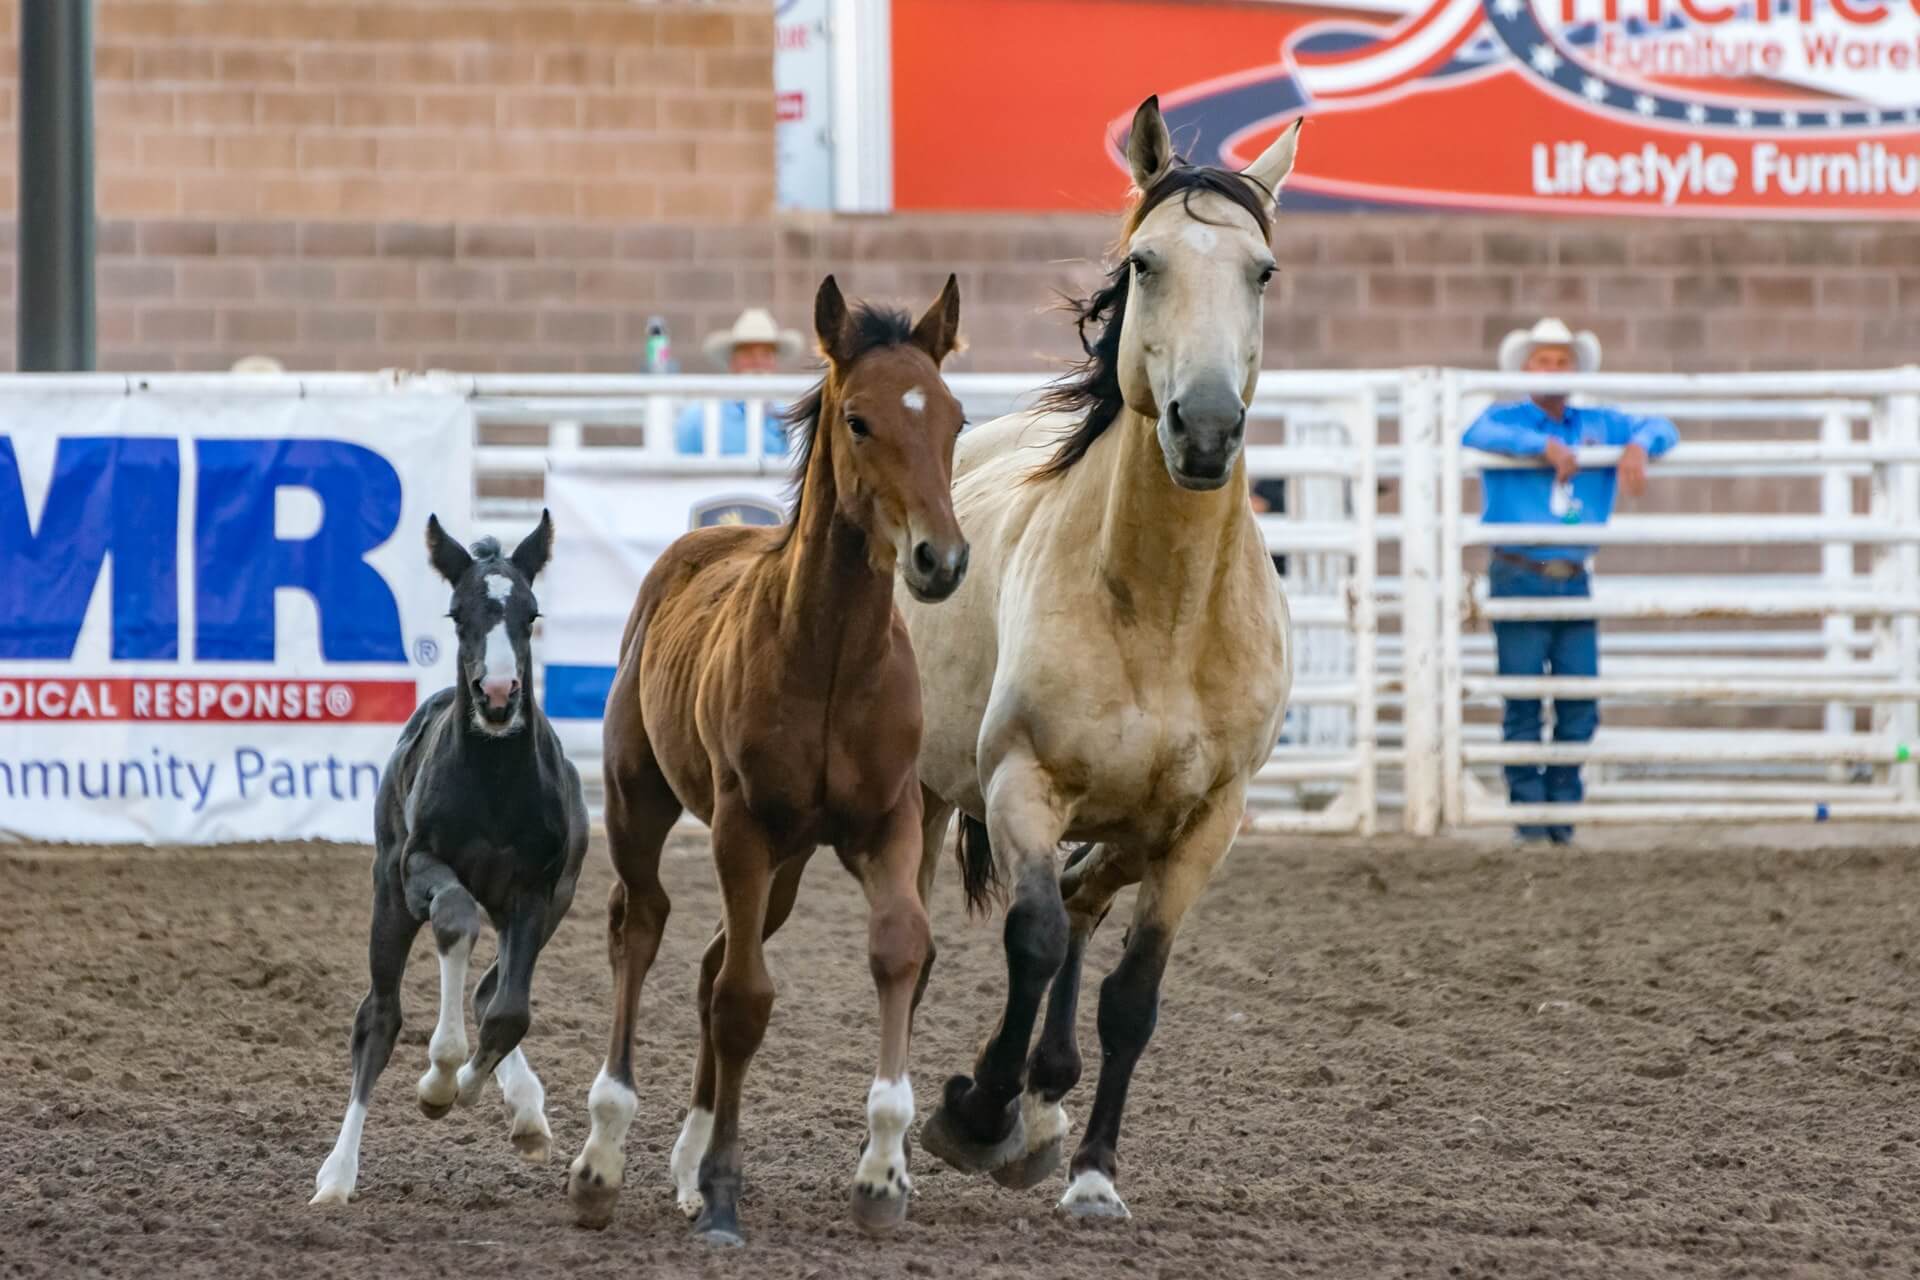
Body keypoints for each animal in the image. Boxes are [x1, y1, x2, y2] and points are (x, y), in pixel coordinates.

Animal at [312, 512, 589, 1206]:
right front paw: (438, 1077)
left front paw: (476, 1089)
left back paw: (526, 1111)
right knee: (378, 1017)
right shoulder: (420, 870)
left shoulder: (537, 892)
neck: (493, 784)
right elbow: (456, 920)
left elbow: (510, 1011)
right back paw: (337, 1175)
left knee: (492, 990)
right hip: (387, 894)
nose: (498, 695)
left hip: (556, 902)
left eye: (531, 613)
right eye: (458, 613)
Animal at [564, 275, 970, 1244]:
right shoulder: (741, 827)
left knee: (712, 958)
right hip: (644, 804)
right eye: (859, 420)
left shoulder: (890, 822)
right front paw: (720, 1191)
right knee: (643, 926)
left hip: (785, 866)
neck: (829, 659)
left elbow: (898, 950)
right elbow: (745, 1000)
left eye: (955, 418)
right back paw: (602, 1158)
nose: (941, 558)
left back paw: (677, 1161)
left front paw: (881, 1177)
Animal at [896, 96, 1301, 1219]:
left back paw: (1048, 1103)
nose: (1205, 427)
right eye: (1147, 263)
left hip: (1129, 825)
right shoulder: (1022, 782)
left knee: (1083, 903)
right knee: (946, 937)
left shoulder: (1205, 826)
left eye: (1263, 271)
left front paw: (1092, 1172)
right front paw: (975, 1109)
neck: (1163, 614)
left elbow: (1132, 995)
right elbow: (1029, 938)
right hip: (926, 794)